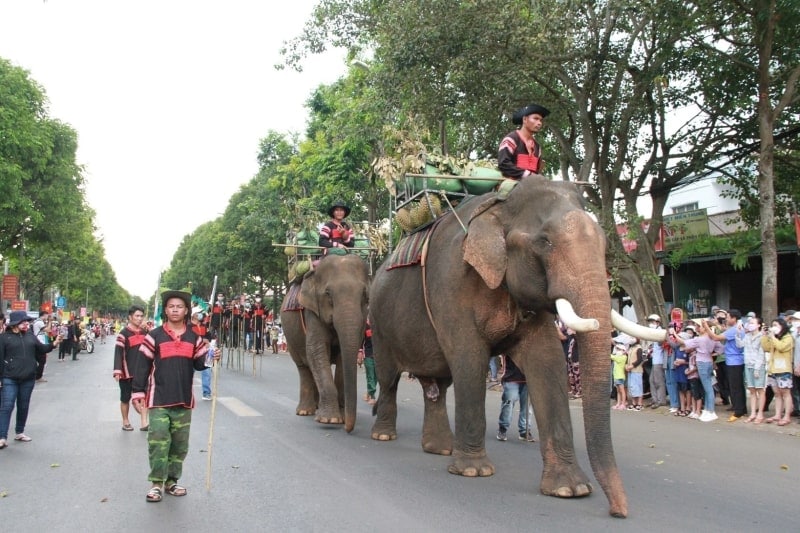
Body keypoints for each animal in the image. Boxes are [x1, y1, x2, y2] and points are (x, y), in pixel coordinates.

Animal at [282, 254, 368, 432]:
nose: (348, 429)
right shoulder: (312, 312)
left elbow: (344, 355)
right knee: (304, 367)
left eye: (364, 294)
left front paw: (341, 417)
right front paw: (330, 420)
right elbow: (316, 350)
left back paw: (316, 407)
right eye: (328, 293)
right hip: (290, 338)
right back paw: (305, 411)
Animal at [368, 175, 664, 516]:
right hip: (379, 324)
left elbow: (548, 362)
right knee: (390, 378)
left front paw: (570, 489)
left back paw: (440, 449)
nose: (618, 511)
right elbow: (469, 358)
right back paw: (384, 435)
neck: (500, 205)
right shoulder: (450, 281)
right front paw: (474, 471)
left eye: (604, 244)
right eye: (545, 242)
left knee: (437, 386)